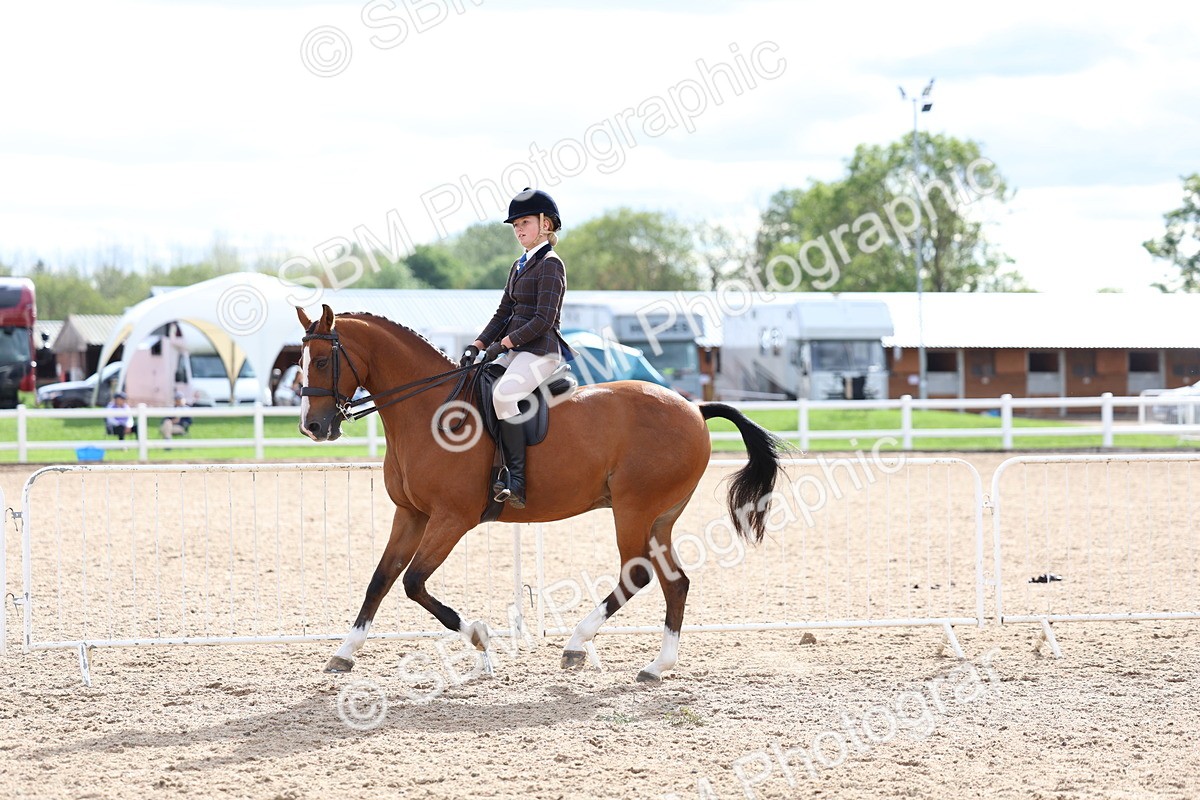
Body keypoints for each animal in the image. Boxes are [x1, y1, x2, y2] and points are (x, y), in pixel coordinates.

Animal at [296, 304, 784, 682]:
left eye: (320, 361)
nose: (312, 427)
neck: (429, 410)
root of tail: (694, 407)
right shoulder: (410, 514)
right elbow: (380, 580)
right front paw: (343, 653)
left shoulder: (451, 519)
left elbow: (414, 583)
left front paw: (481, 640)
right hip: (659, 516)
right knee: (674, 581)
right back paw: (657, 665)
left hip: (634, 509)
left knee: (638, 574)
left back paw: (577, 644)